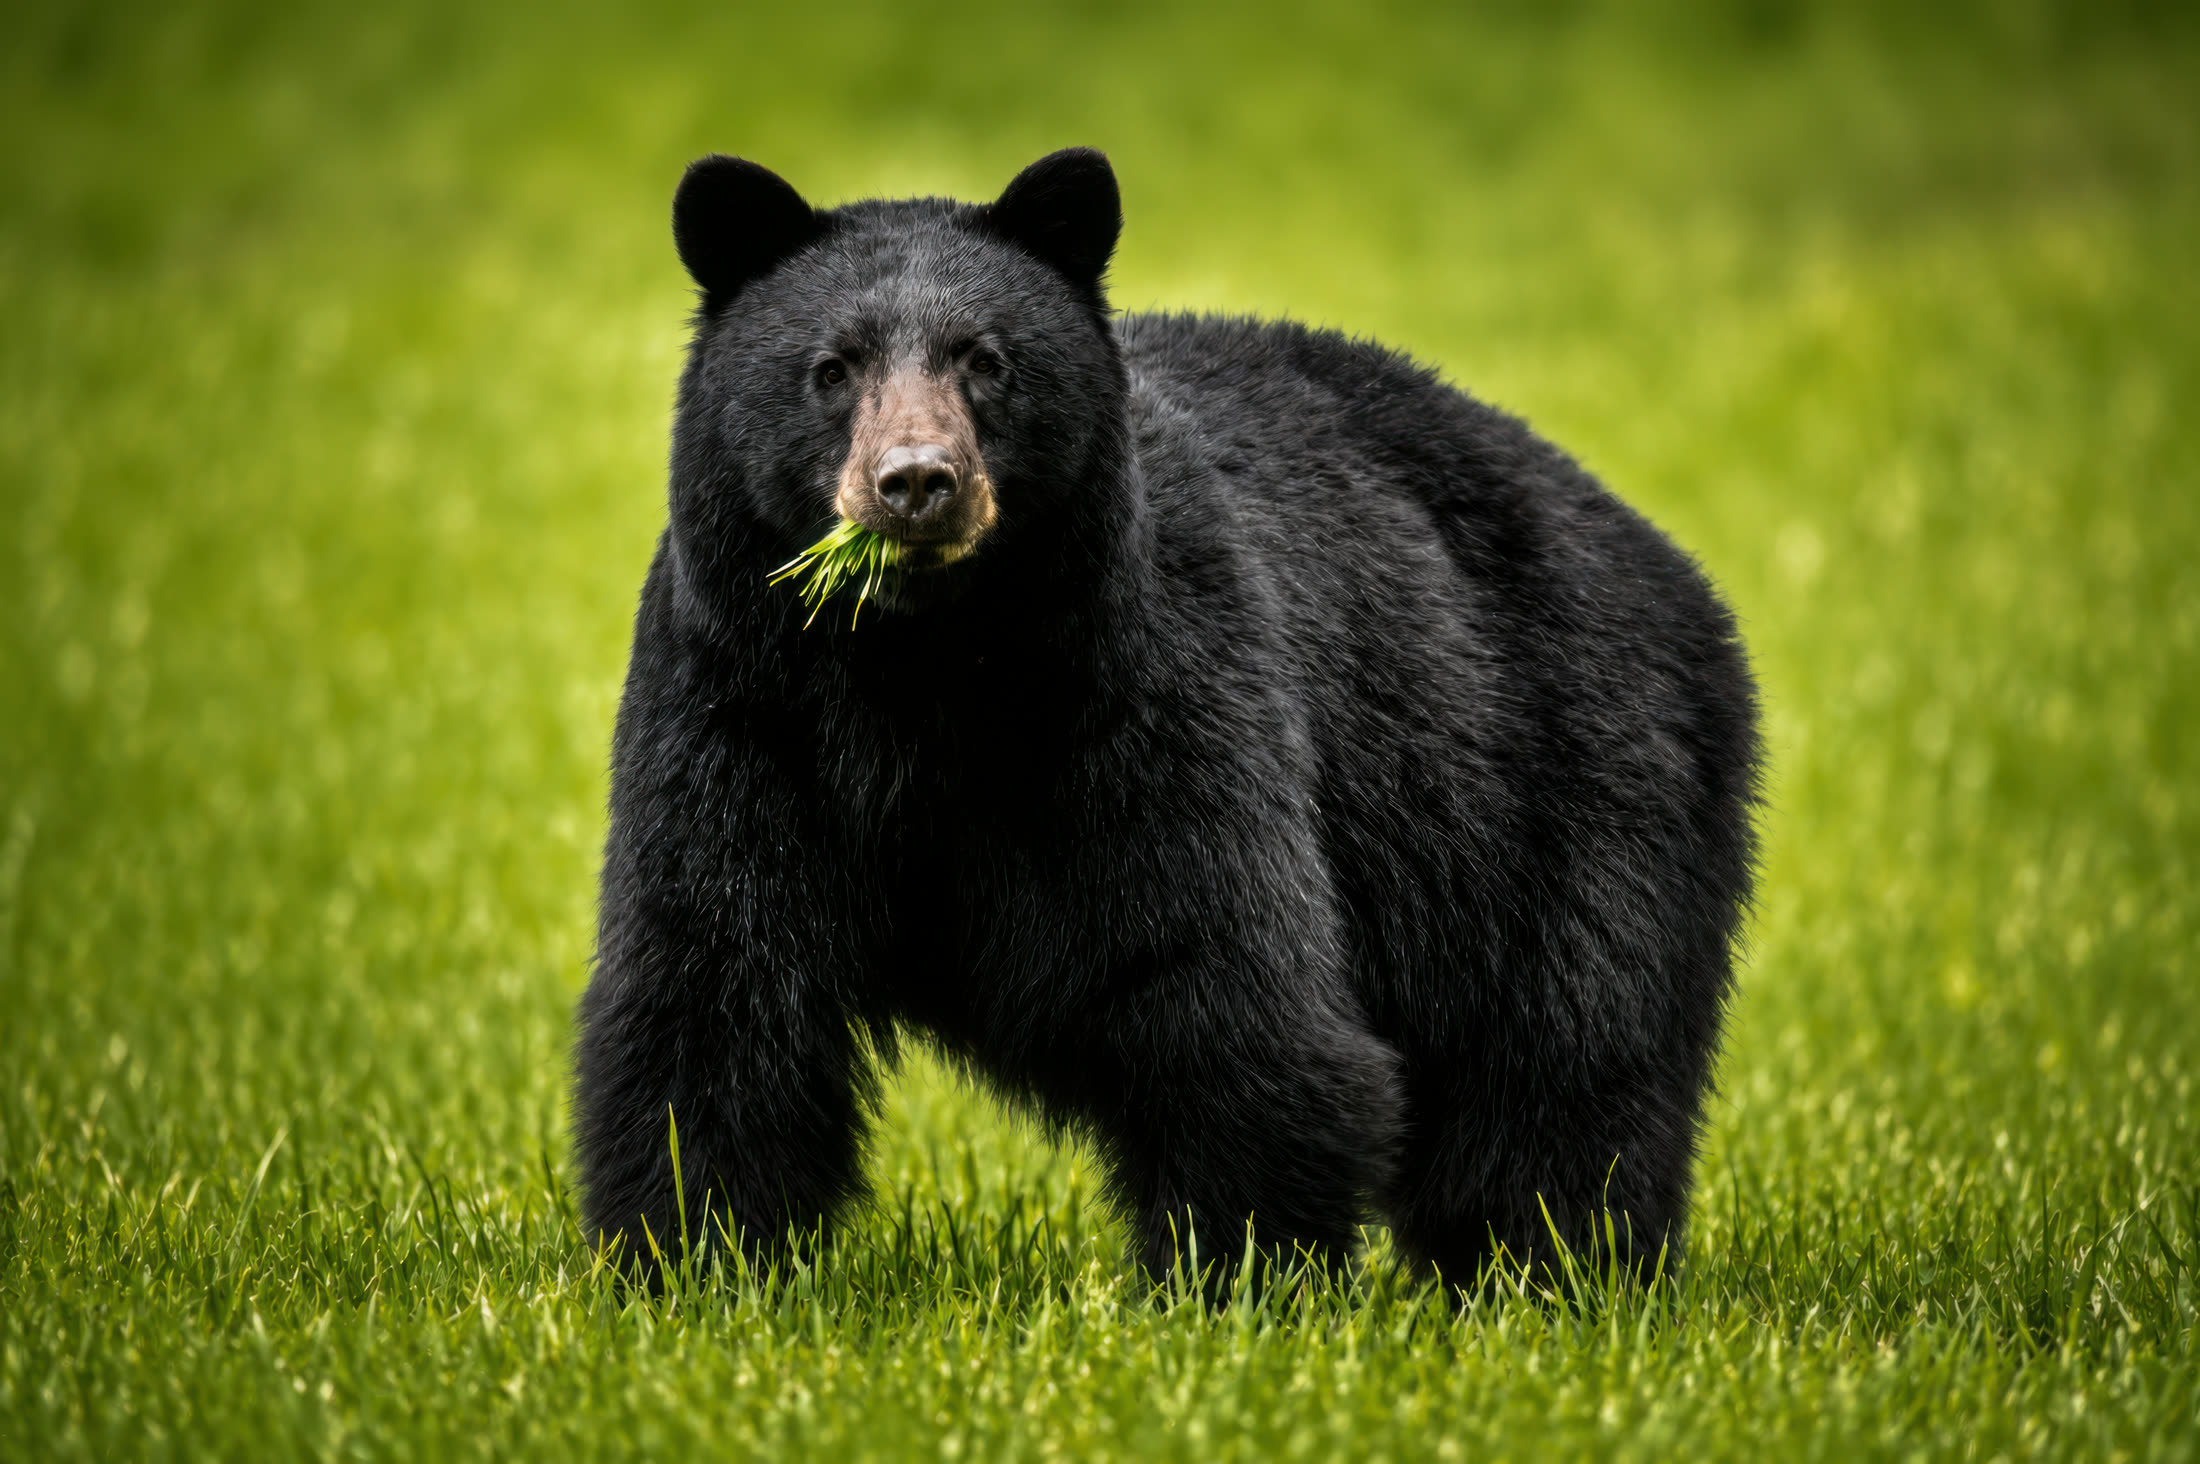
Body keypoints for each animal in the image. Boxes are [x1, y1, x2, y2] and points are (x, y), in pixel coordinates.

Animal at [572, 147, 1762, 1295]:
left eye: (985, 360)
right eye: (830, 369)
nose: (916, 483)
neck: (920, 672)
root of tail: (1667, 563)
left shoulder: (1141, 698)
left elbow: (1216, 978)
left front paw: (1235, 1279)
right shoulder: (740, 707)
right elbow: (714, 984)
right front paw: (688, 1264)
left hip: (1558, 783)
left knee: (1564, 1062)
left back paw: (1554, 1271)